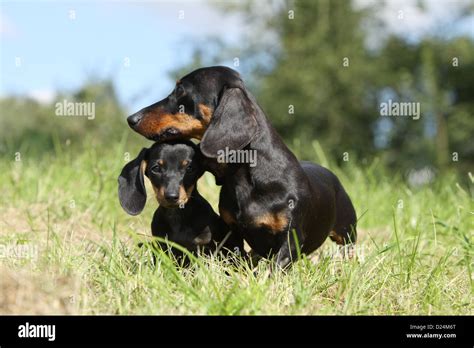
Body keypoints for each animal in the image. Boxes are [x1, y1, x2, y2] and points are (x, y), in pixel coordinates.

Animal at [126, 66, 356, 268]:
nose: (131, 119)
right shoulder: (232, 232)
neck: (250, 176)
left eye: (180, 90)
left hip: (347, 232)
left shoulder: (290, 240)